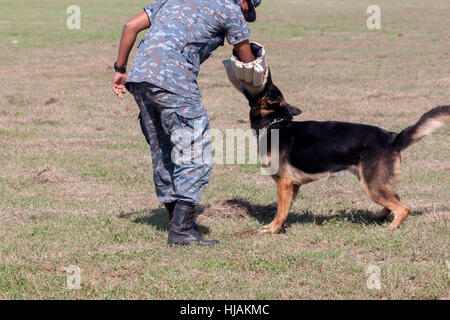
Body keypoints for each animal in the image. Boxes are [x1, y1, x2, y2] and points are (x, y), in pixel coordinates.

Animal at [244, 72, 448, 232]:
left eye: (267, 85)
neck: (274, 122)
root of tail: (393, 137)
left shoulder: (284, 184)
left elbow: (280, 212)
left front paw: (272, 230)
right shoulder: (292, 186)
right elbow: (283, 211)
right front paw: (275, 227)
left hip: (372, 187)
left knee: (403, 208)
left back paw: (390, 228)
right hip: (376, 184)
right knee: (395, 199)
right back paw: (379, 218)